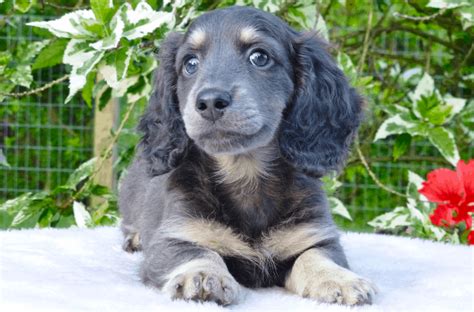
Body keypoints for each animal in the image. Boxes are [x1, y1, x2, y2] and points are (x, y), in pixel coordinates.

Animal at [119, 4, 378, 306]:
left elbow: (315, 256)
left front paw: (338, 278)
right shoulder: (174, 236)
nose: (209, 102)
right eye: (190, 63)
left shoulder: (314, 235)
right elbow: (197, 252)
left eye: (259, 57)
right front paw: (203, 274)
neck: (245, 172)